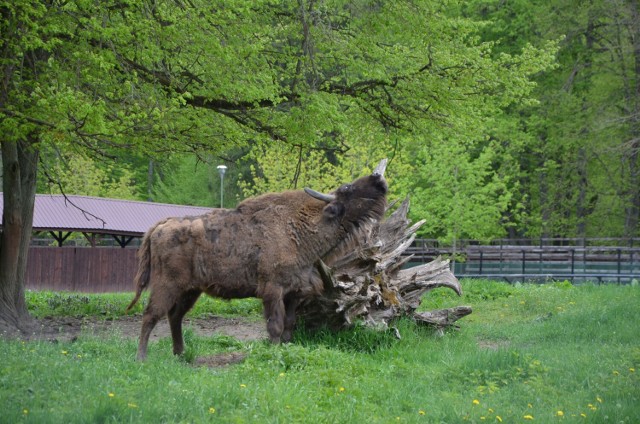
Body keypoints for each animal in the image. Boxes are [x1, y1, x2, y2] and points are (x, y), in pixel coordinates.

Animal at [124, 161, 384, 360]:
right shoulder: (272, 291)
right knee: (151, 314)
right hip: (167, 285)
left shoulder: (294, 293)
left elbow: (289, 324)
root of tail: (160, 226)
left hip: (191, 290)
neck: (301, 226)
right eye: (347, 188)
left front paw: (286, 347)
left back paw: (180, 353)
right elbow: (275, 325)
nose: (378, 179)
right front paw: (274, 351)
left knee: (174, 316)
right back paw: (142, 357)